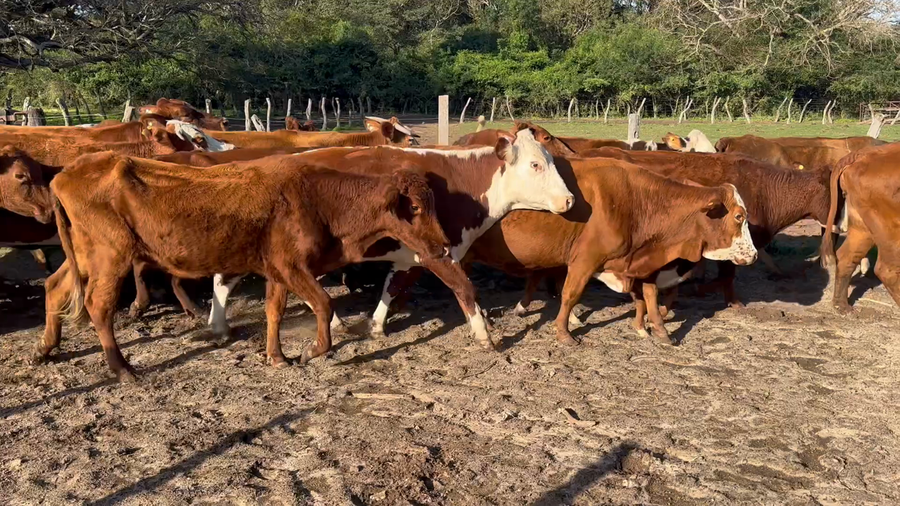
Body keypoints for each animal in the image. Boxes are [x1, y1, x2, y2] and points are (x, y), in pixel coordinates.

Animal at [36, 152, 450, 381]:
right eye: (415, 207)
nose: (443, 246)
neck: (316, 198)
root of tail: (66, 172)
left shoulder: (278, 271)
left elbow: (274, 311)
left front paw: (277, 357)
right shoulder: (293, 267)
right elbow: (323, 304)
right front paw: (312, 351)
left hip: (85, 255)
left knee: (54, 287)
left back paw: (46, 348)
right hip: (111, 257)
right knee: (98, 306)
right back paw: (122, 369)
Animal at [202, 128, 575, 351]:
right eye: (535, 165)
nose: (570, 200)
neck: (461, 184)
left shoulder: (411, 255)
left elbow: (392, 288)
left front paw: (377, 325)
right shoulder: (439, 252)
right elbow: (465, 289)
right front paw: (484, 334)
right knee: (224, 279)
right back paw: (219, 326)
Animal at [461, 156, 756, 345]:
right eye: (739, 216)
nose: (753, 255)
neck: (636, 201)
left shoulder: (641, 262)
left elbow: (649, 295)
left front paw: (656, 330)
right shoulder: (585, 260)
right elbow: (570, 294)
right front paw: (563, 333)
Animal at [820, 143, 900, 313]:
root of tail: (864, 153)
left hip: (863, 229)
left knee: (846, 257)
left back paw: (841, 305)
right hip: (890, 230)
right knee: (886, 269)